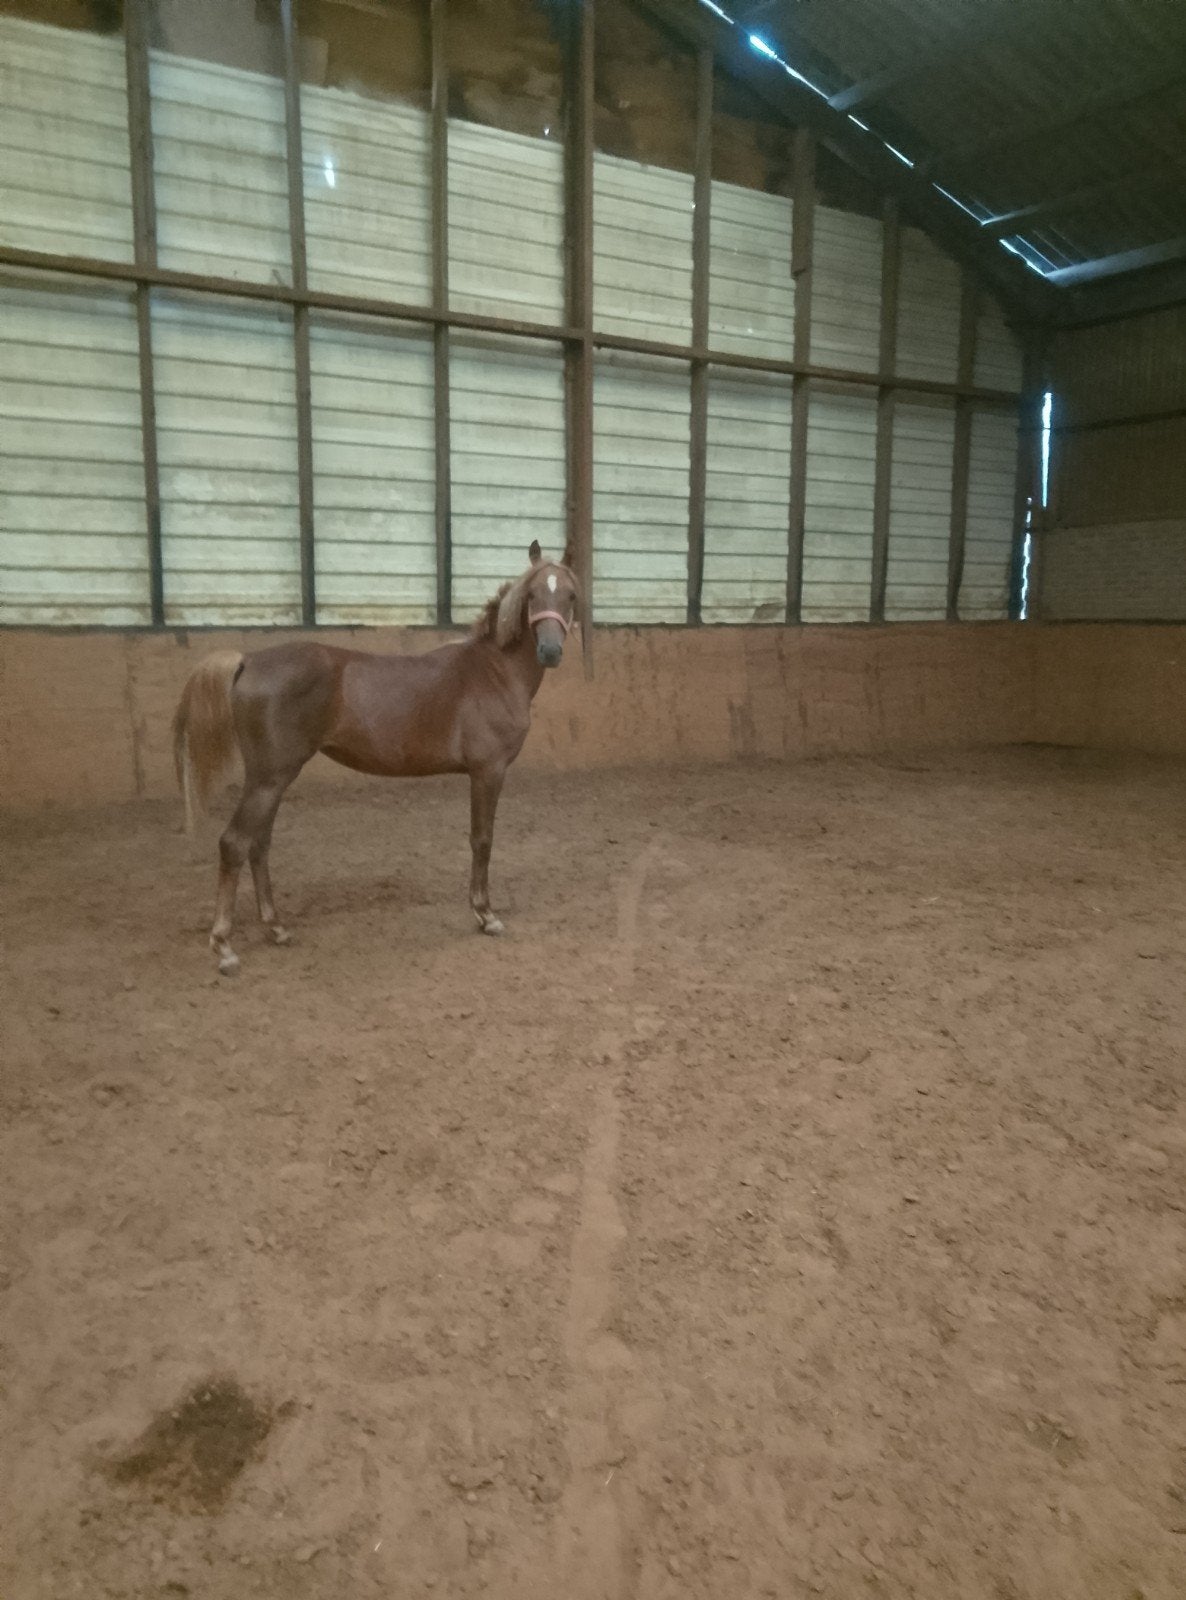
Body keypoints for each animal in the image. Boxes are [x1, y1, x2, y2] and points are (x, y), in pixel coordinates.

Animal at [172, 541, 579, 975]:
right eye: (532, 594)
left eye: (570, 595)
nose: (550, 651)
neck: (493, 672)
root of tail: (248, 660)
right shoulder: (488, 772)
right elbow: (482, 839)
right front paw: (486, 915)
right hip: (269, 778)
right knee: (234, 843)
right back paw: (224, 946)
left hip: (271, 780)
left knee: (259, 844)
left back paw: (276, 928)